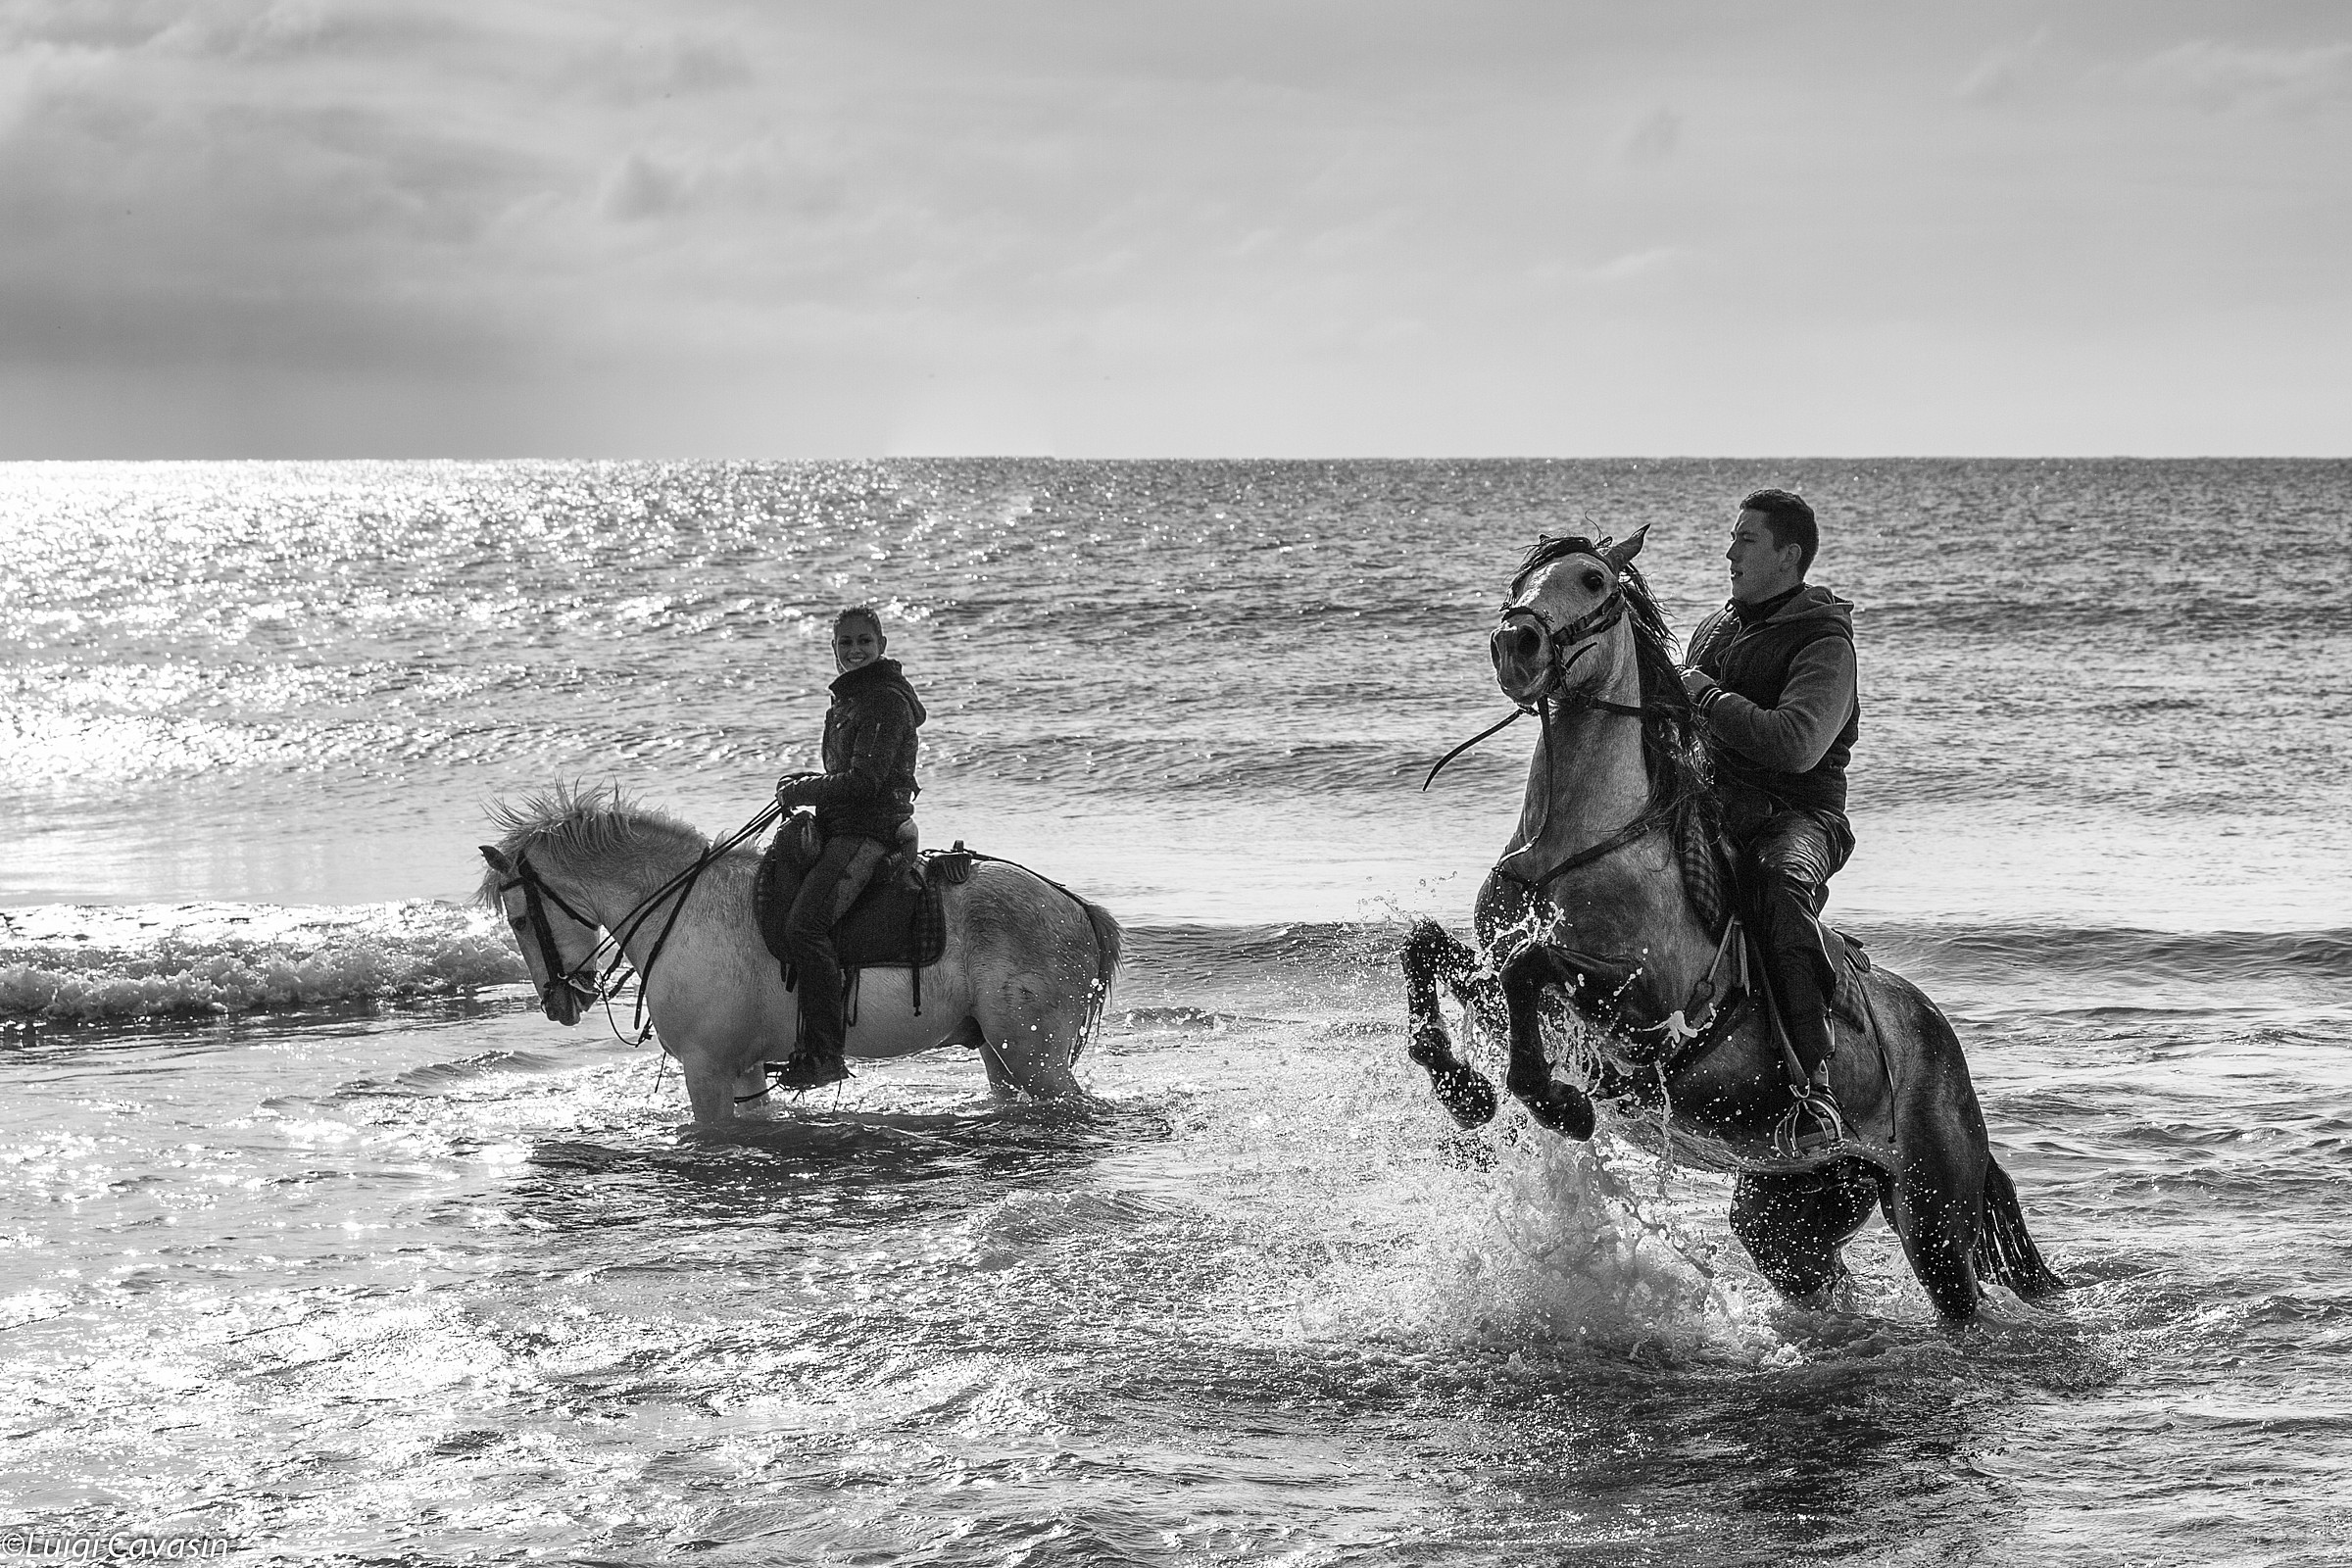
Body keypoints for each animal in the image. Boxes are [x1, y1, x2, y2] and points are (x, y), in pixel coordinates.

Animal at [477, 785, 1121, 1123]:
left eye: (518, 920)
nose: (559, 1004)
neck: (683, 908)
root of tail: (1075, 907)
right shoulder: (741, 1066)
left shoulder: (705, 1068)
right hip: (1000, 1054)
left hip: (1035, 1056)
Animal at [1401, 529, 2061, 1323]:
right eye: (1518, 582)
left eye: (1592, 580)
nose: (1516, 646)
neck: (1572, 848)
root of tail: (1946, 1052)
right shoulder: (1516, 982)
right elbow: (1432, 950)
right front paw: (1462, 1090)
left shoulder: (1647, 1005)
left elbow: (1530, 967)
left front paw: (1561, 1108)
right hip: (1789, 1209)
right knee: (1817, 1276)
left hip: (1932, 1216)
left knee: (1960, 1304)